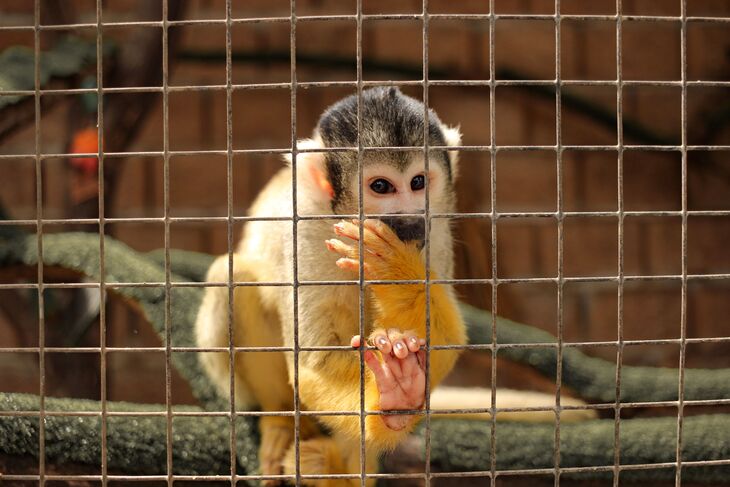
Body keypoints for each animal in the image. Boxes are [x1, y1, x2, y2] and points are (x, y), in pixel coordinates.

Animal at [194, 87, 594, 486]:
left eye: (418, 183)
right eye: (381, 187)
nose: (408, 220)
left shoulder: (435, 228)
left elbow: (440, 339)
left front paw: (399, 393)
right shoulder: (305, 224)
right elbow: (315, 359)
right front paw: (390, 396)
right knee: (232, 278)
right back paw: (281, 422)